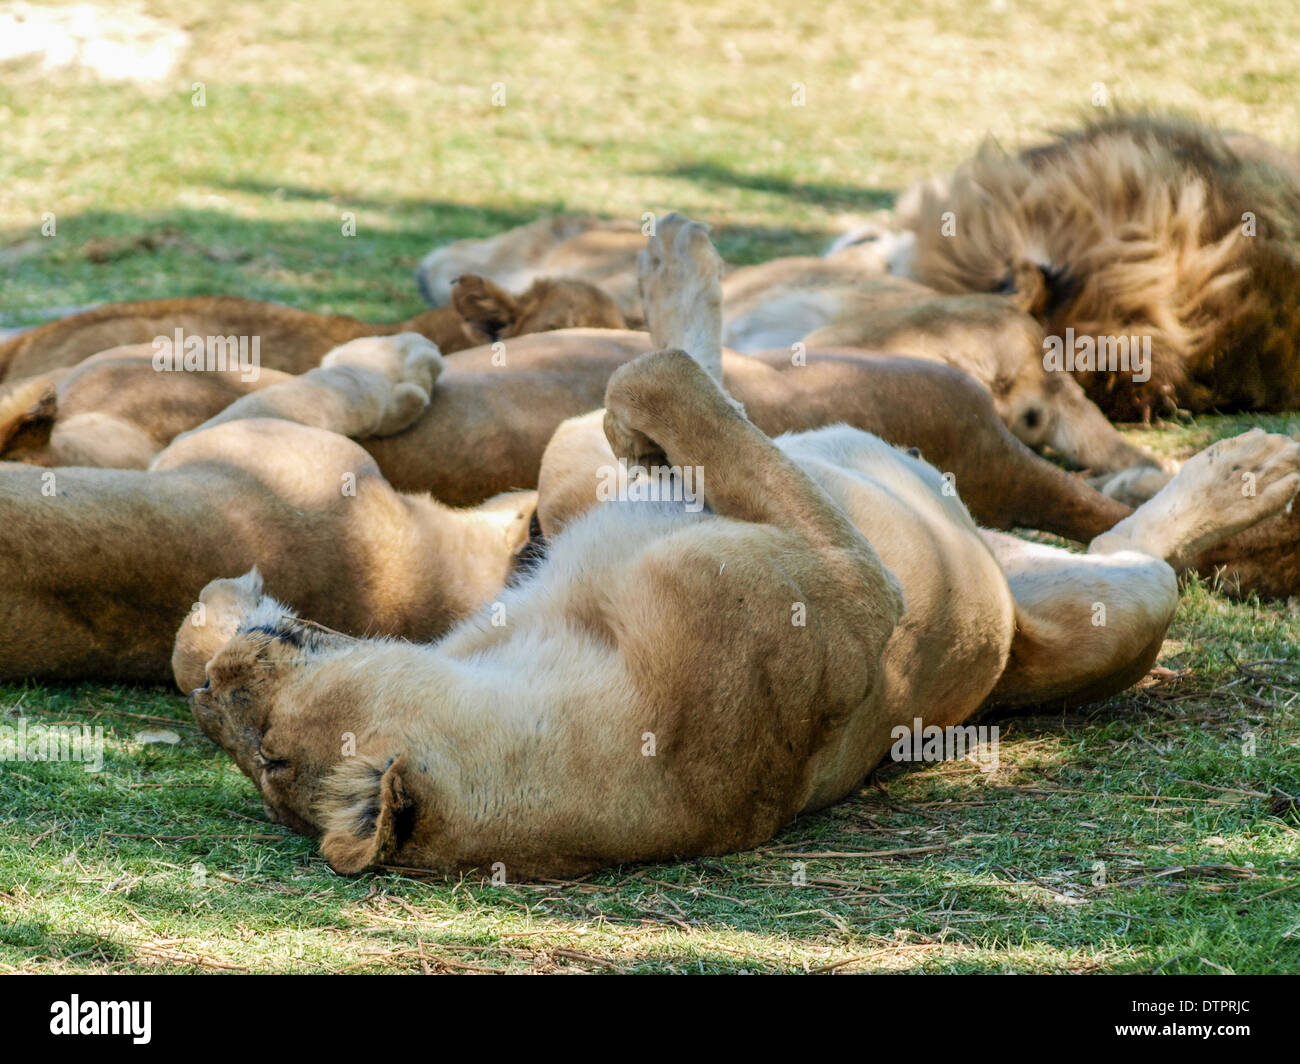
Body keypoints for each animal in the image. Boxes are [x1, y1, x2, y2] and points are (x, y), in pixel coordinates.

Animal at [185, 213, 1300, 868]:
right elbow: (661, 382)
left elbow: (656, 407)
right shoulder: (857, 584)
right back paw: (1249, 468)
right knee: (1134, 548)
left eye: (260, 749)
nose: (209, 678)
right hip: (1127, 611)